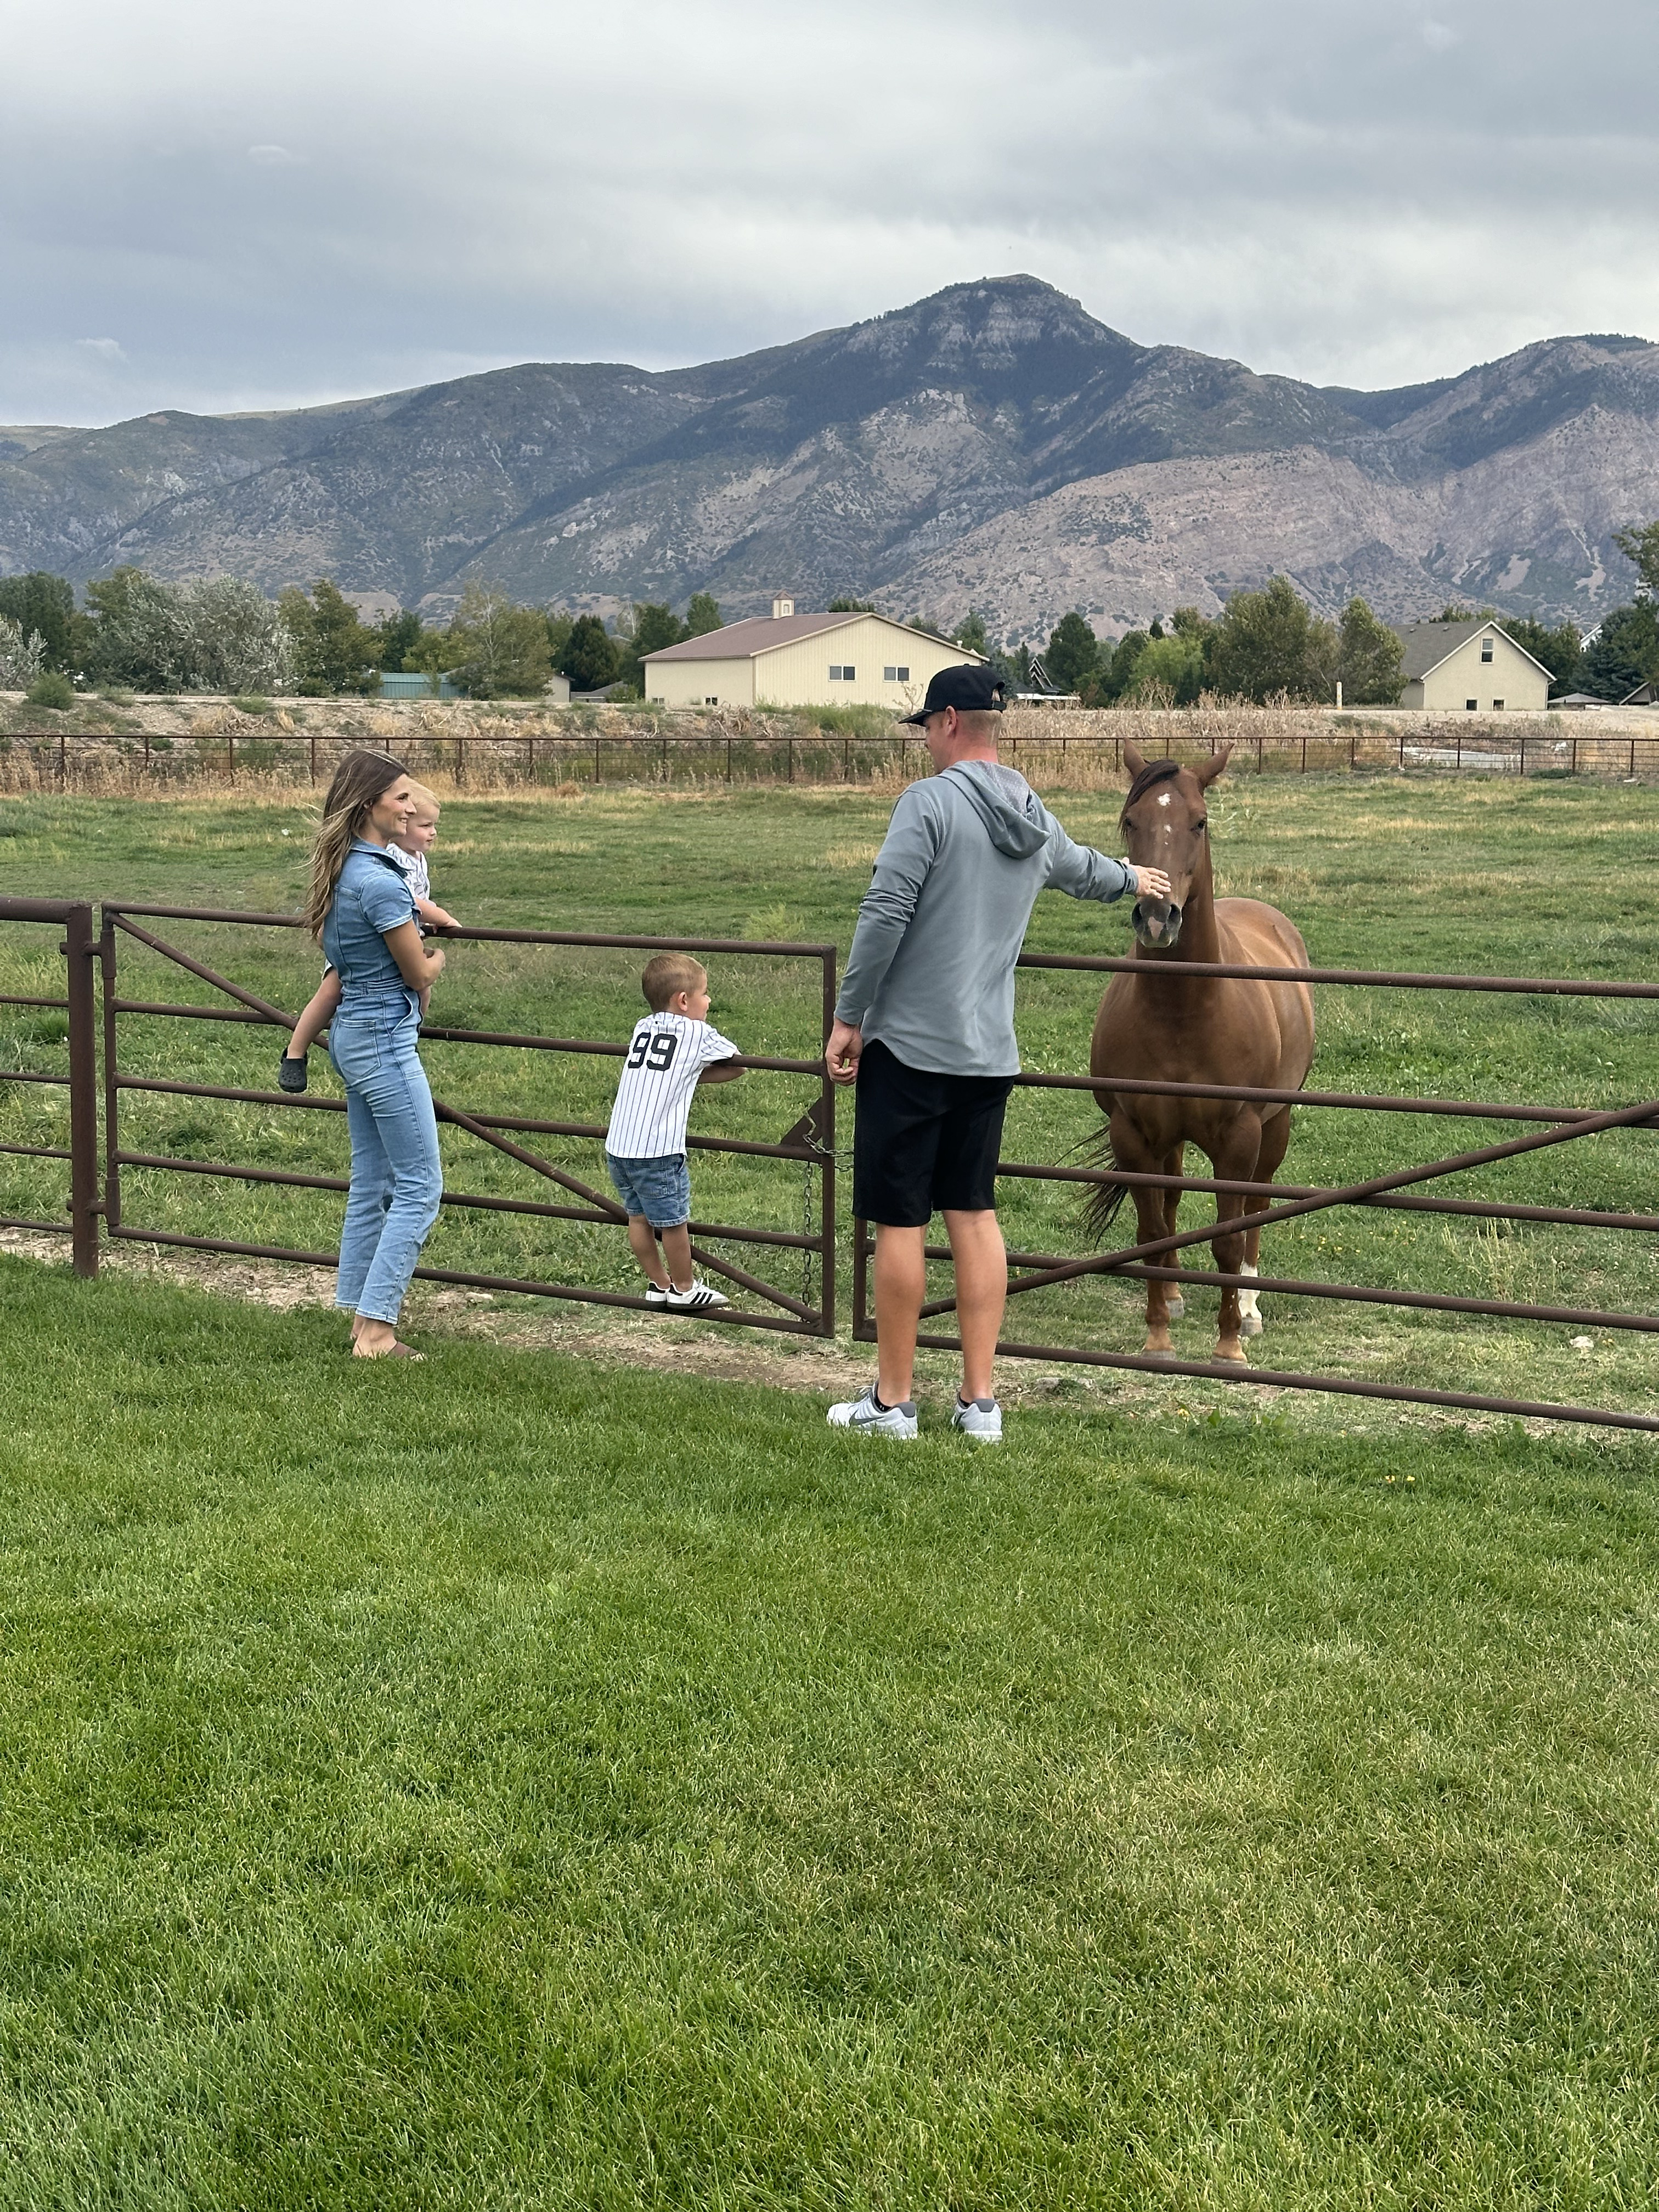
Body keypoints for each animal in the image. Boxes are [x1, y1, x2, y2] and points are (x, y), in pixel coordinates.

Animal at [1088, 741, 1314, 1365]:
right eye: (1131, 821)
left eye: (1200, 821)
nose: (1157, 917)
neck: (1185, 1011)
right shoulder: (1134, 1133)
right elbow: (1151, 1231)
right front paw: (1158, 1335)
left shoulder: (1240, 1137)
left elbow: (1229, 1241)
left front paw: (1230, 1344)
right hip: (1171, 1140)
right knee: (1169, 1202)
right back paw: (1176, 1295)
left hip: (1276, 1125)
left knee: (1258, 1208)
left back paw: (1253, 1310)